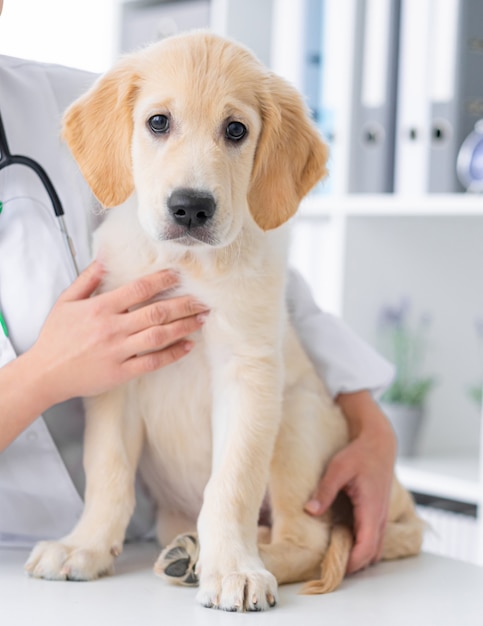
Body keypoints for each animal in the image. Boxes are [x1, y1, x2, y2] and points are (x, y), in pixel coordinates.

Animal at [25, 31, 424, 608]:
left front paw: (234, 568)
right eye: (158, 122)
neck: (186, 264)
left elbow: (231, 484)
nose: (191, 207)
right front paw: (85, 546)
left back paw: (215, 561)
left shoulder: (249, 372)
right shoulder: (117, 371)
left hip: (296, 421)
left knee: (308, 538)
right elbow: (108, 472)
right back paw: (187, 553)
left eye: (236, 130)